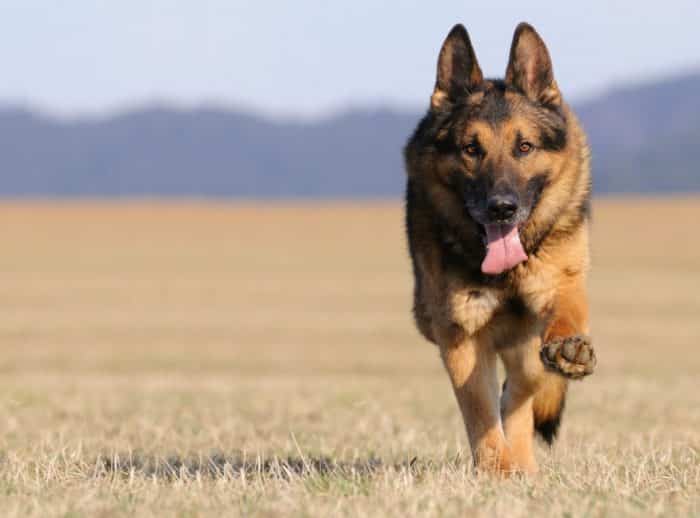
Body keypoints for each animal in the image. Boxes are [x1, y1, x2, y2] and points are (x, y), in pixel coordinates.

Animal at [404, 24, 596, 478]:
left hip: (526, 353)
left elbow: (568, 310)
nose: (502, 208)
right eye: (471, 149)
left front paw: (571, 347)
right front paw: (498, 471)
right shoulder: (461, 333)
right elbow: (478, 411)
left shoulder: (560, 283)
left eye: (524, 147)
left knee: (519, 398)